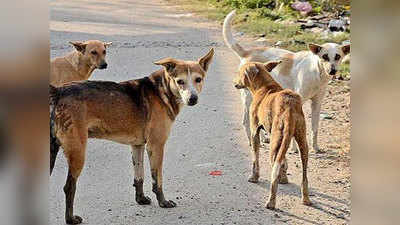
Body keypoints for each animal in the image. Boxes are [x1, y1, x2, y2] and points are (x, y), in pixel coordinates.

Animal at [50, 48, 216, 223]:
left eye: (198, 79)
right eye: (180, 81)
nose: (193, 99)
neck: (161, 91)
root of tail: (59, 91)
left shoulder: (137, 145)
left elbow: (139, 176)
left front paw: (141, 199)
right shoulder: (156, 146)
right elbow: (157, 179)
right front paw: (163, 202)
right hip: (78, 152)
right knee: (69, 187)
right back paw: (70, 218)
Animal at [223, 9, 352, 152]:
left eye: (337, 56)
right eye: (324, 56)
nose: (332, 71)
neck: (317, 72)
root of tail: (247, 52)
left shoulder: (317, 103)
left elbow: (315, 128)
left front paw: (315, 147)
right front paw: (294, 148)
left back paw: (262, 138)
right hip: (248, 98)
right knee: (245, 121)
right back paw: (252, 141)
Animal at [234, 61, 312, 209]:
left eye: (240, 72)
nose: (234, 83)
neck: (265, 87)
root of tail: (289, 107)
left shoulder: (254, 131)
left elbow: (255, 159)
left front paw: (254, 177)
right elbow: (284, 160)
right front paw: (284, 178)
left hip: (274, 143)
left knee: (273, 173)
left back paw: (271, 201)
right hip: (302, 142)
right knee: (304, 175)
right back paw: (306, 198)